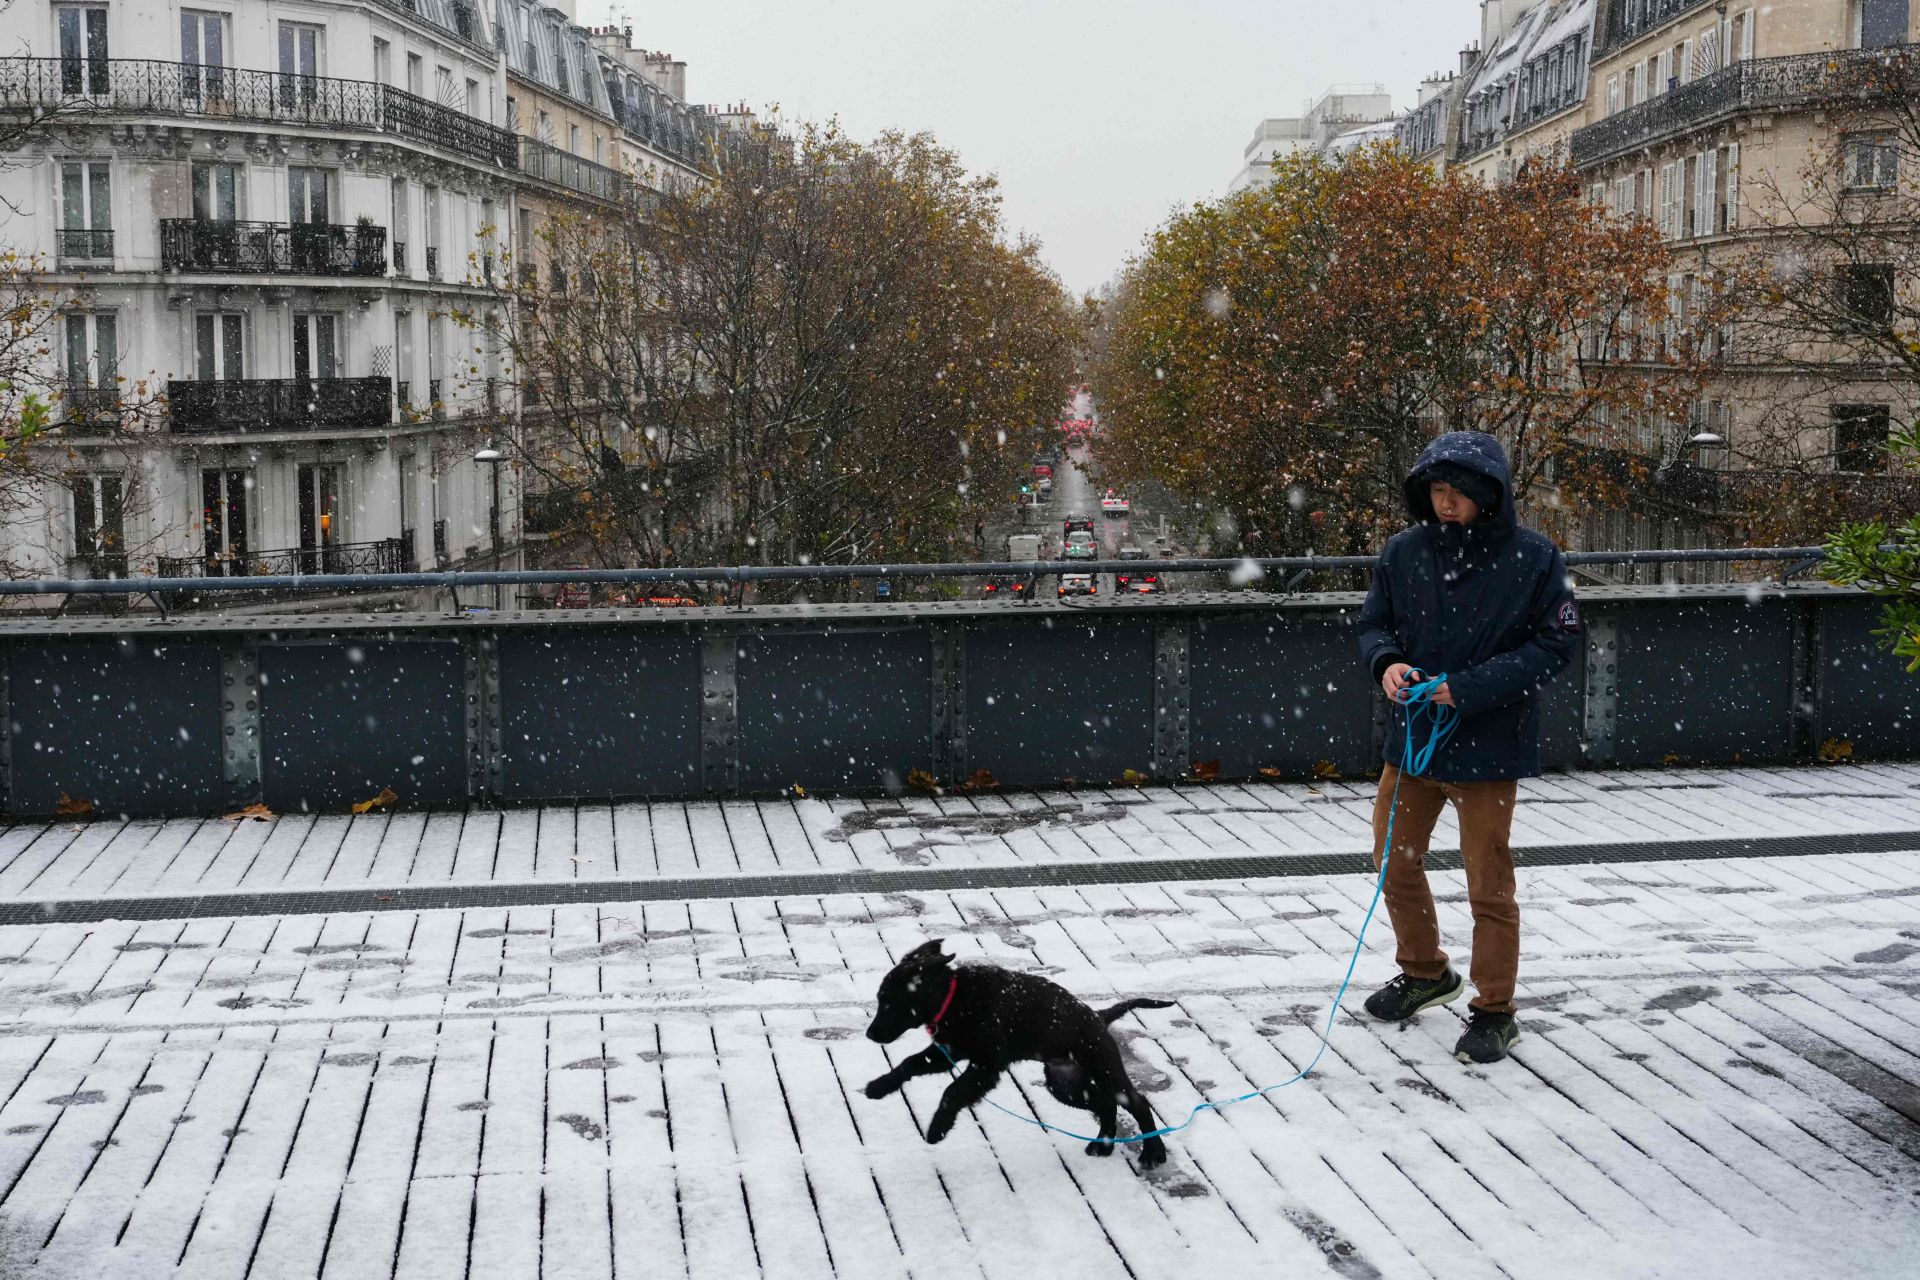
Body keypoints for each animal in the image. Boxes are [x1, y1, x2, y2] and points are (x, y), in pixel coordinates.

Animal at [867, 936, 1167, 1166]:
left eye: (889, 1002)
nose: (870, 1034)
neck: (955, 998)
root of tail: (1098, 1016)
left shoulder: (986, 1065)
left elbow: (952, 1092)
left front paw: (938, 1128)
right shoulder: (948, 1051)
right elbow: (909, 1063)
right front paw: (879, 1086)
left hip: (1104, 1068)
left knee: (1137, 1102)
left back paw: (1154, 1152)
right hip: (1065, 1084)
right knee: (1106, 1103)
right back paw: (1103, 1145)